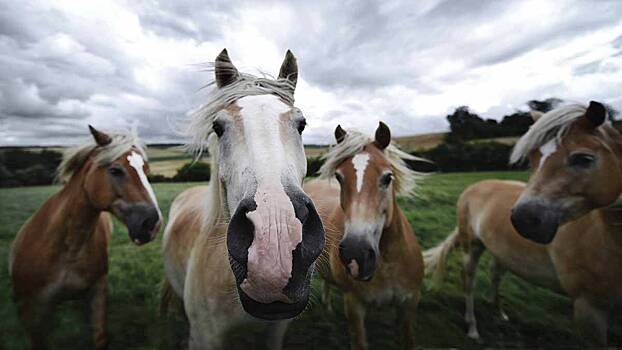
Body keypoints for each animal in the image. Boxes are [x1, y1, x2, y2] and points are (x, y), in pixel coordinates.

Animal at [10, 126, 161, 350]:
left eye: (146, 170)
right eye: (115, 170)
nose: (152, 224)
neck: (66, 248)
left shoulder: (98, 291)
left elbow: (98, 336)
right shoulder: (31, 313)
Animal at [304, 123, 426, 350]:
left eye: (388, 177)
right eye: (339, 177)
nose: (356, 254)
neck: (388, 263)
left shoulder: (409, 304)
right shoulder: (354, 305)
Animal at [426, 100, 622, 344]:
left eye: (584, 159)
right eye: (533, 158)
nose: (523, 219)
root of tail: (474, 187)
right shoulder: (589, 310)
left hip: (501, 252)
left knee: (495, 275)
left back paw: (499, 313)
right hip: (471, 247)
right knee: (469, 281)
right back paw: (472, 328)